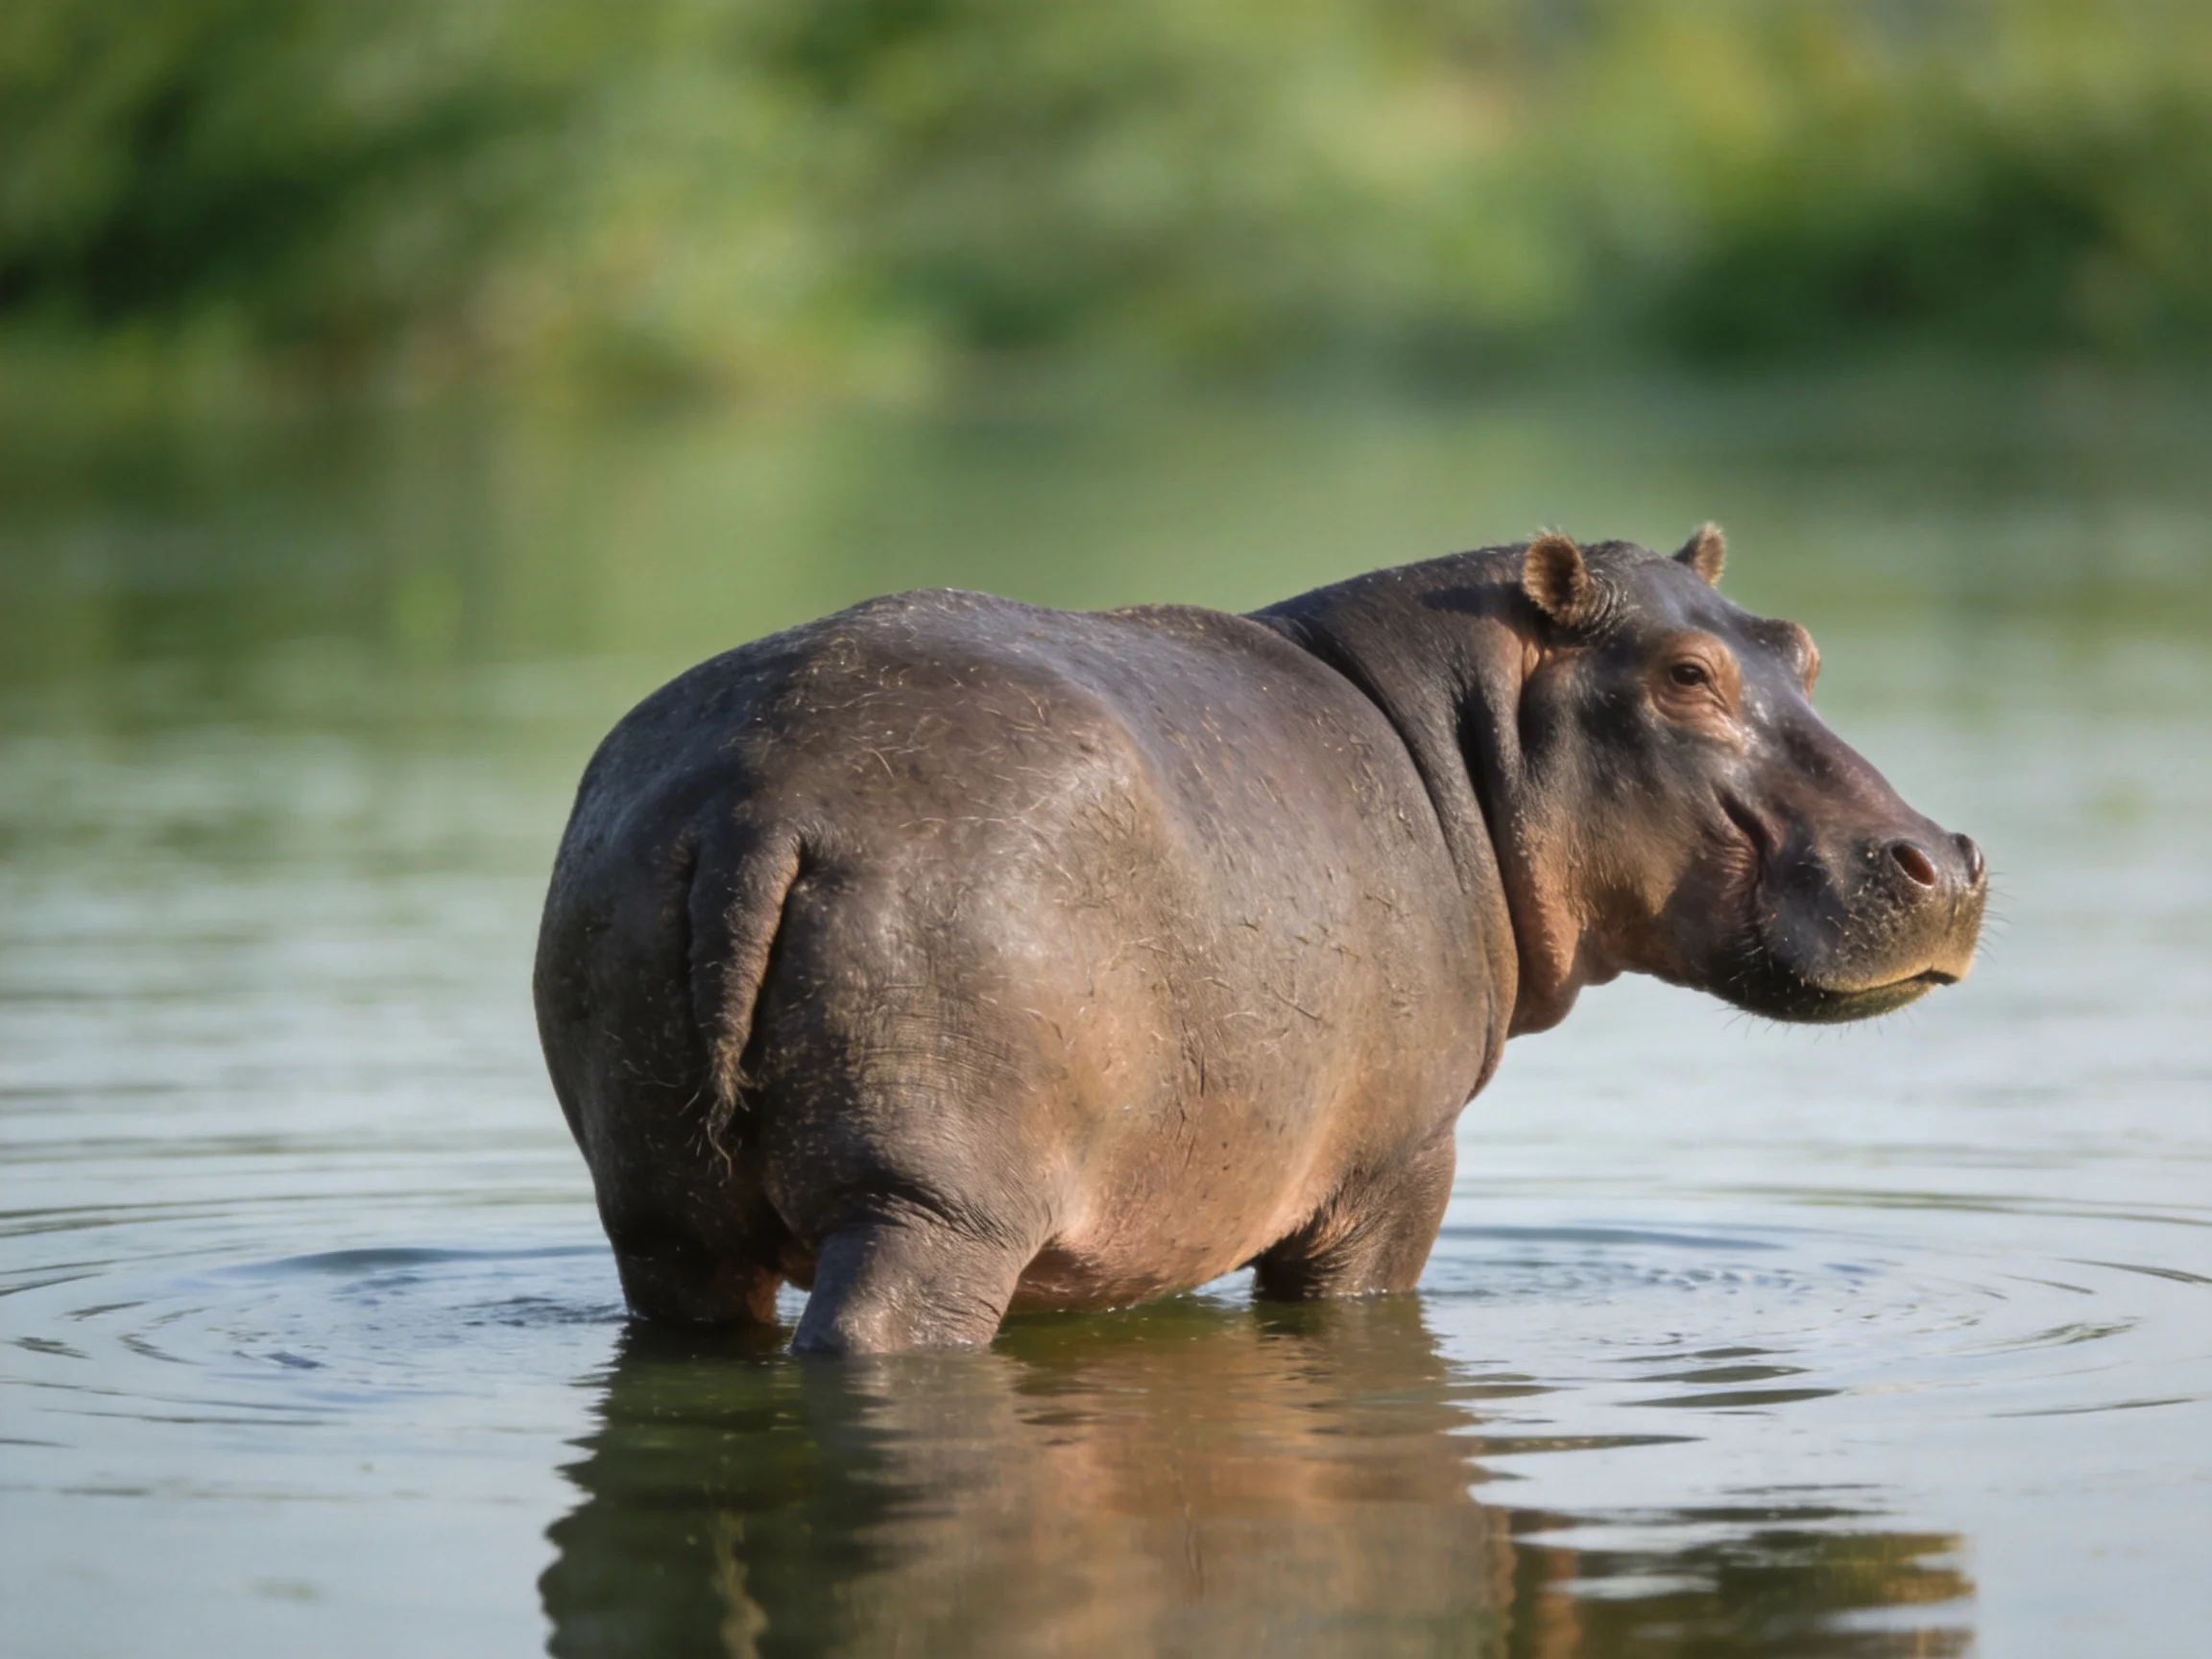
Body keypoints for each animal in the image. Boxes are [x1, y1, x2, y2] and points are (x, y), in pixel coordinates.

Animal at [534, 529, 1985, 1354]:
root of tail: (755, 798)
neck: (1463, 733)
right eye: (1688, 677)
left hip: (661, 1211)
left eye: (1798, 645)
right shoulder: (1396, 1166)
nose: (1950, 857)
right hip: (931, 1205)